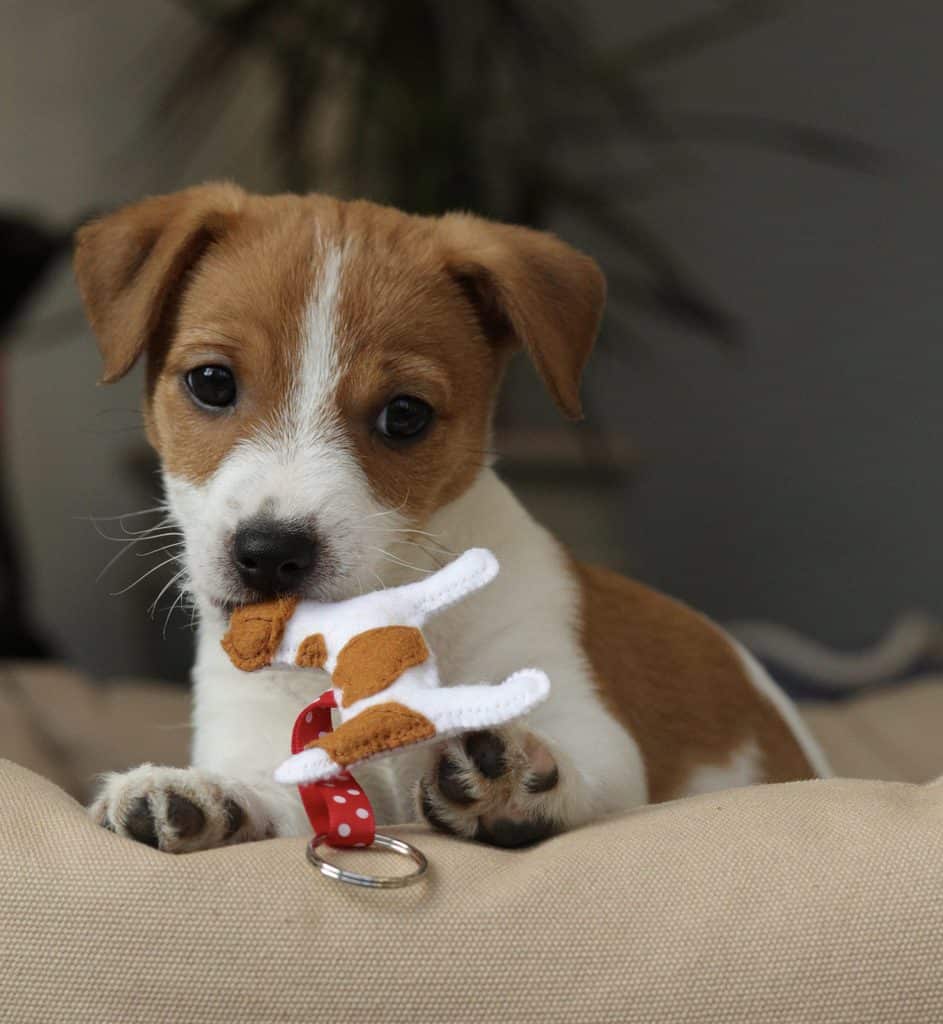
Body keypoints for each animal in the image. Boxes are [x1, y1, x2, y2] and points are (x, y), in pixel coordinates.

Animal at [75, 186, 823, 856]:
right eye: (211, 382)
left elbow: (581, 765)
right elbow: (271, 790)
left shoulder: (588, 724)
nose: (269, 552)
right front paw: (202, 798)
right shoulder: (271, 742)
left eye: (405, 415)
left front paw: (518, 781)